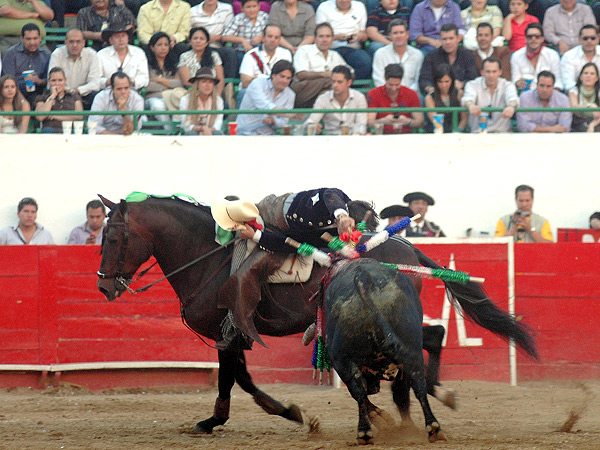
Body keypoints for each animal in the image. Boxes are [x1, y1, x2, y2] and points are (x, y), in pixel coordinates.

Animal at [323, 258, 445, 444]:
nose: (373, 388)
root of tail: (363, 278)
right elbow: (402, 392)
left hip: (341, 359)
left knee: (358, 390)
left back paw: (364, 432)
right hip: (412, 349)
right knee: (418, 385)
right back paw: (433, 427)